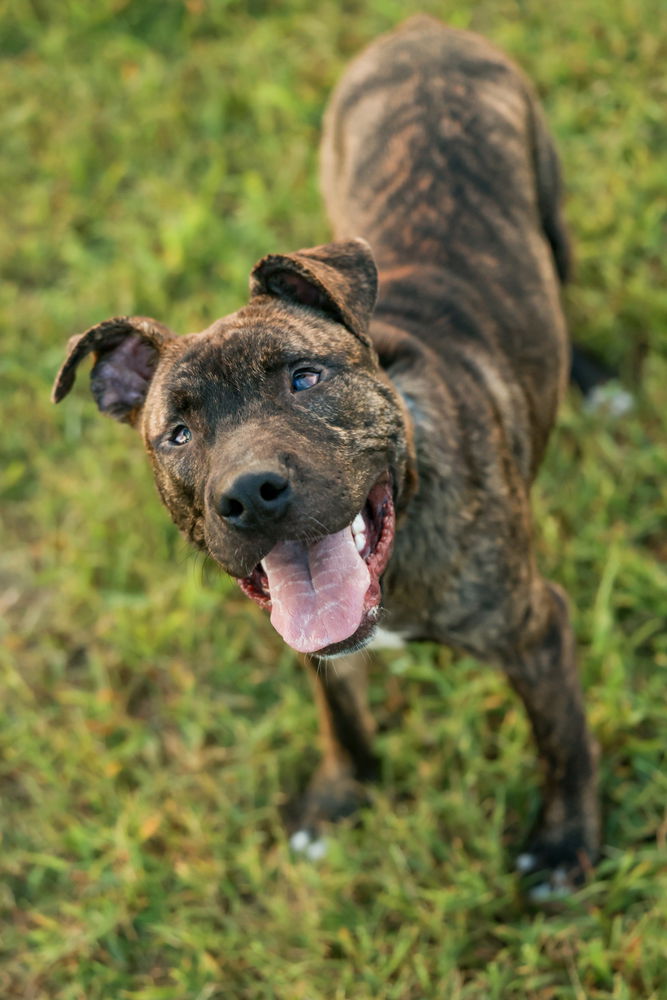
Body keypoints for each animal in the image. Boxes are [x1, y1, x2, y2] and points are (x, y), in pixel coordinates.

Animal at [52, 15, 600, 900]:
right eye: (178, 434)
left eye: (304, 378)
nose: (250, 495)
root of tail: (422, 30)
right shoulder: (311, 641)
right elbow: (339, 713)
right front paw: (342, 796)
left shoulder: (535, 629)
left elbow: (564, 745)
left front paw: (562, 847)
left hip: (548, 201)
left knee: (560, 277)